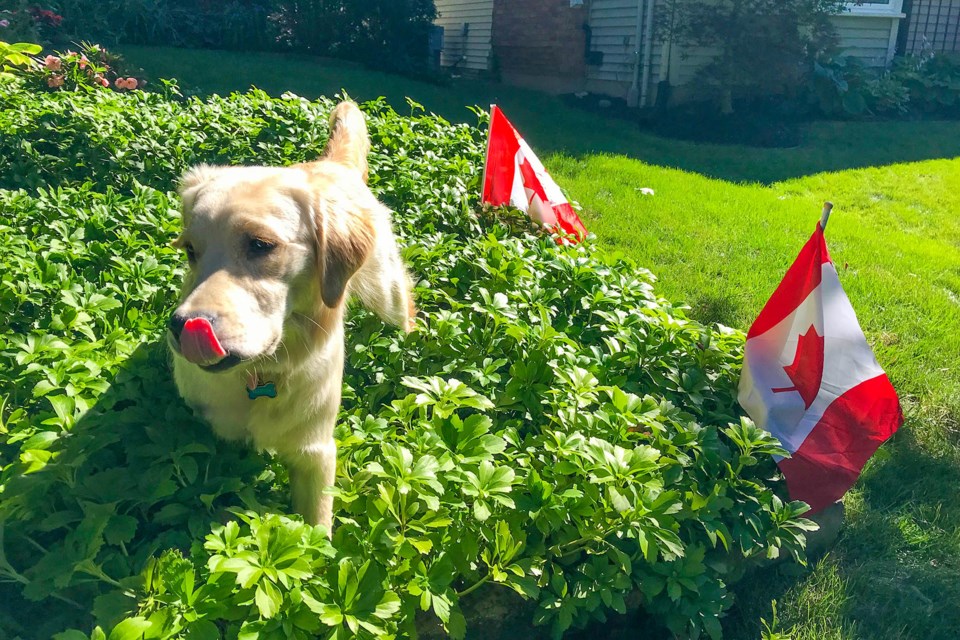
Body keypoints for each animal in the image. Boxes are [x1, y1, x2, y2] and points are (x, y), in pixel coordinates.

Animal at [169, 101, 416, 528]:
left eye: (260, 245)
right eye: (190, 251)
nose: (182, 326)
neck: (260, 375)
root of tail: (330, 164)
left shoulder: (316, 452)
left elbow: (317, 528)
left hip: (390, 295)